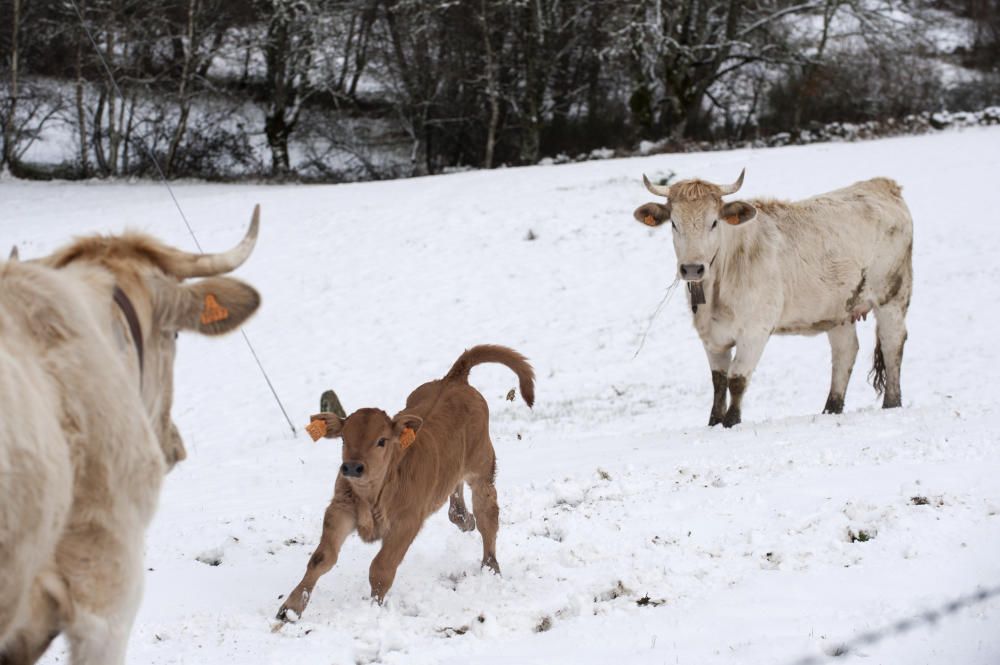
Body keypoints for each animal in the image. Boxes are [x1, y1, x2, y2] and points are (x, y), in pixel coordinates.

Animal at [278, 344, 536, 620]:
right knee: (456, 503)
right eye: (344, 439)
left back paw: (491, 567)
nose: (352, 467)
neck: (373, 493)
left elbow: (381, 568)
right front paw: (290, 608)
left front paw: (374, 609)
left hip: (482, 469)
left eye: (381, 440)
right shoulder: (340, 509)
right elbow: (321, 558)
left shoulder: (407, 521)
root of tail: (453, 379)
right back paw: (465, 520)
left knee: (488, 516)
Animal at [632, 171, 916, 426]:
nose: (692, 269)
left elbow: (737, 379)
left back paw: (891, 403)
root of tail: (882, 184)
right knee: (845, 352)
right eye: (674, 223)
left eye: (714, 222)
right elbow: (718, 381)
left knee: (892, 343)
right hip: (839, 309)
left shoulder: (755, 331)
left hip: (892, 294)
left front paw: (731, 422)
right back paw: (830, 410)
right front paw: (714, 422)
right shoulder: (711, 337)